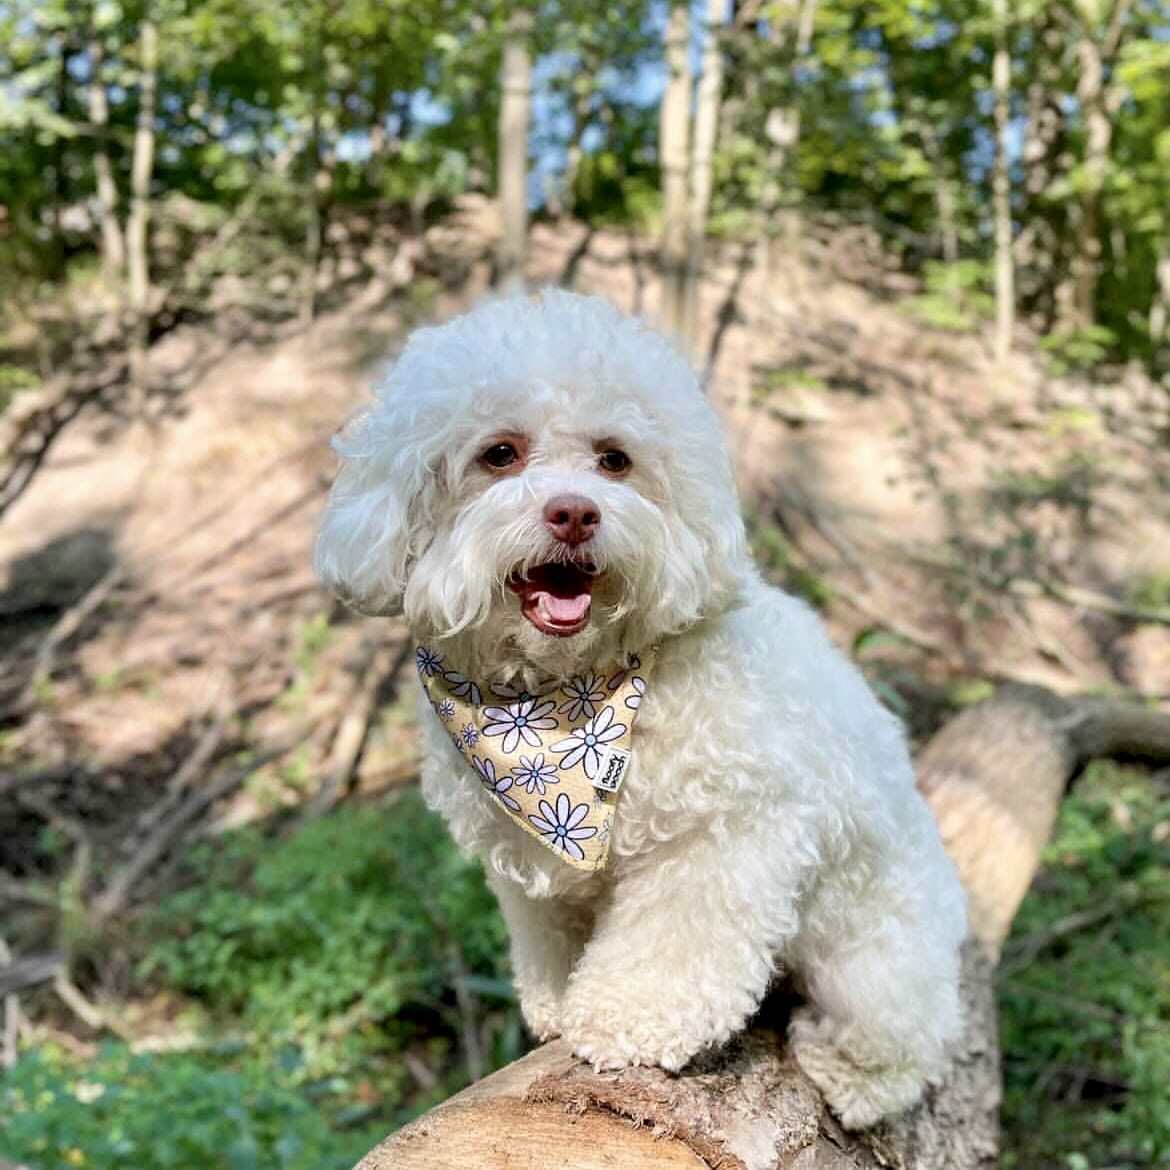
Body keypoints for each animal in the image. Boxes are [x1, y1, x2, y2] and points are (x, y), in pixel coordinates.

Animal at [315, 287, 964, 1127]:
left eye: (614, 458)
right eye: (499, 453)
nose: (574, 513)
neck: (558, 705)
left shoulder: (731, 828)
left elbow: (674, 940)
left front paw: (631, 1016)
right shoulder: (531, 862)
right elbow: (551, 930)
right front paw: (554, 1001)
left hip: (874, 956)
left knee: (908, 1038)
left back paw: (853, 1074)